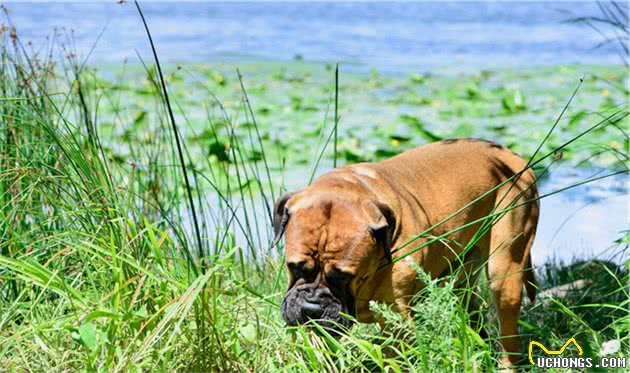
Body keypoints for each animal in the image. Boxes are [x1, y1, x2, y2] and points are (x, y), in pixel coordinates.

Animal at [274, 138, 540, 368]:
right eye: (294, 267)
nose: (311, 309)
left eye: (343, 276)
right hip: (461, 279)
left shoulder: (398, 323)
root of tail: (511, 156)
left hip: (505, 272)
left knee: (508, 334)